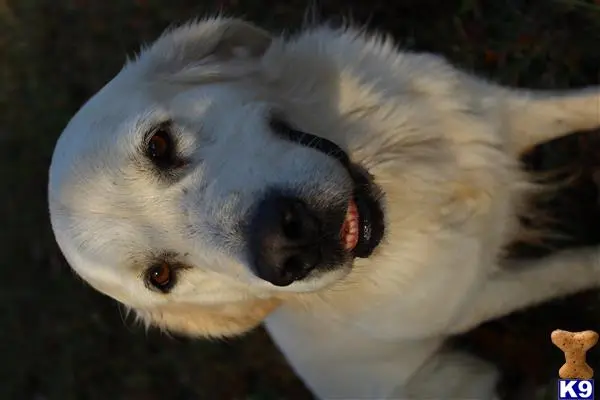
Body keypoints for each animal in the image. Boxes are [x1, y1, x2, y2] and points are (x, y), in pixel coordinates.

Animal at [48, 18, 600, 400]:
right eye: (162, 277)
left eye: (158, 145)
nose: (286, 248)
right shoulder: (475, 298)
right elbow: (567, 269)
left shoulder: (491, 109)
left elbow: (583, 103)